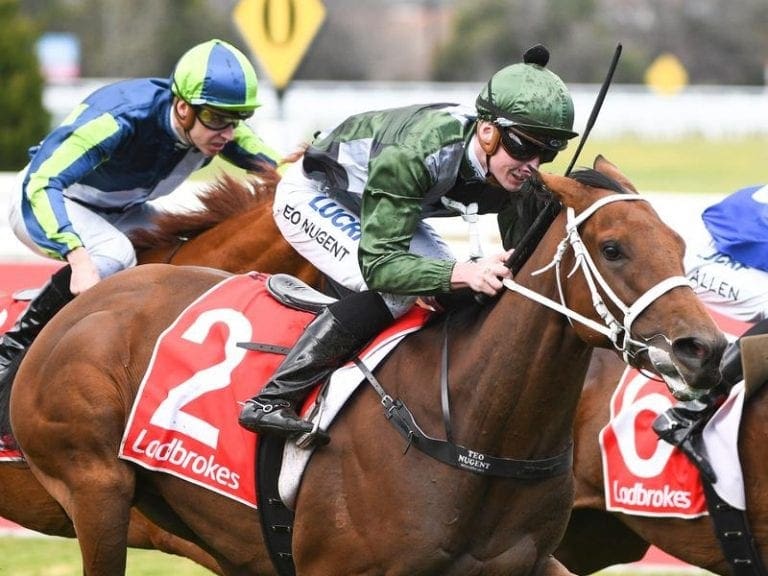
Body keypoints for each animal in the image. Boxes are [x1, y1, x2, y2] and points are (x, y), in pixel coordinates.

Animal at [9, 156, 726, 575]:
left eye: (680, 243)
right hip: (97, 491)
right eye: (613, 247)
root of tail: (86, 301)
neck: (473, 426)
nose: (704, 349)